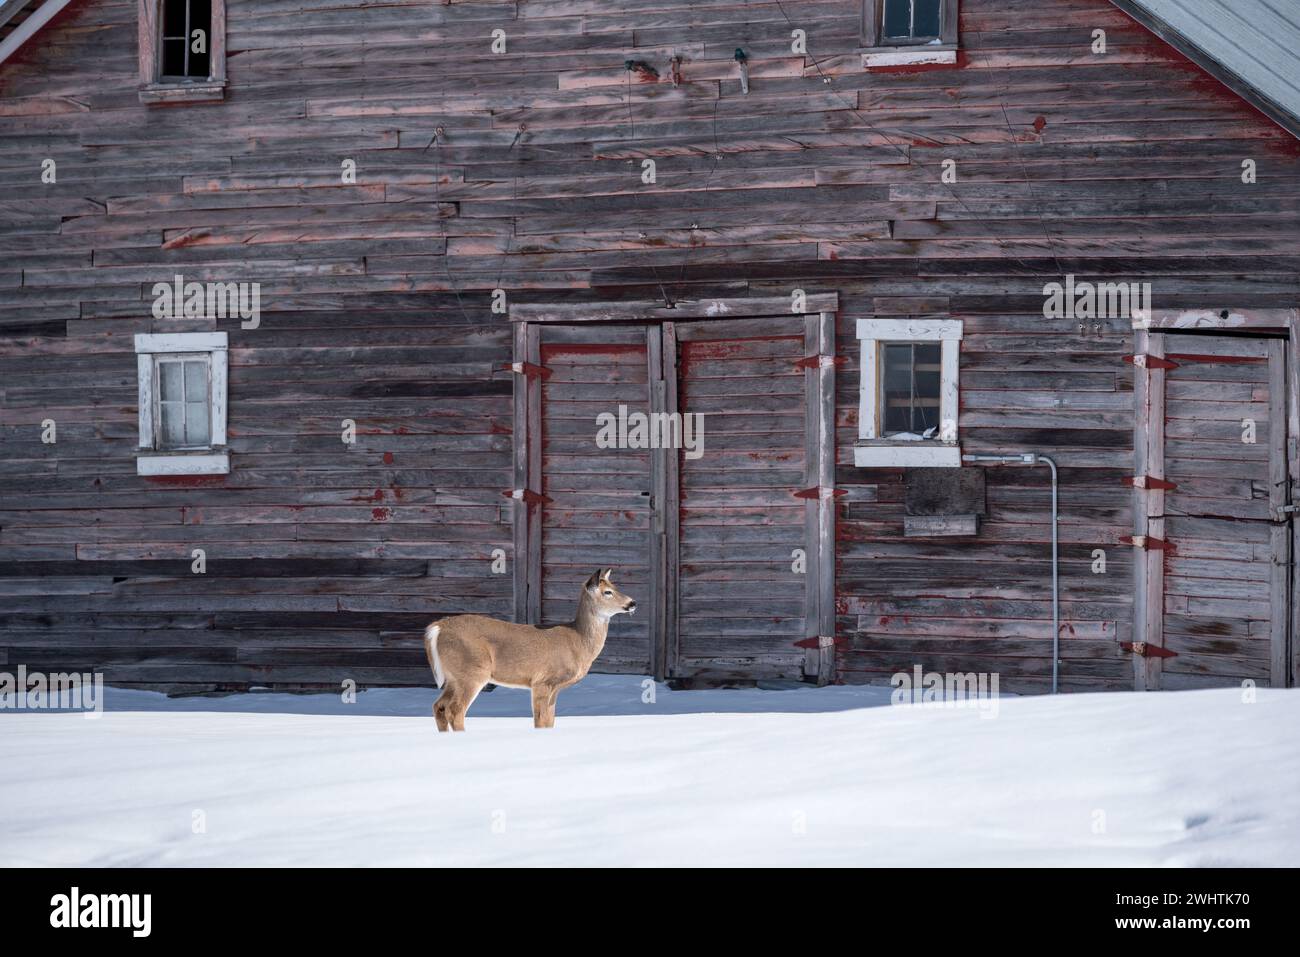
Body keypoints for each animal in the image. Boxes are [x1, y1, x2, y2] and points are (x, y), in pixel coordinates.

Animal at [421, 566, 634, 733]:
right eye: (607, 592)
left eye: (616, 587)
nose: (632, 603)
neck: (577, 640)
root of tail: (437, 627)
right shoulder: (543, 680)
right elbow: (541, 721)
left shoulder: (555, 688)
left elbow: (550, 721)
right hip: (472, 670)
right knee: (455, 710)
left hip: (453, 677)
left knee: (439, 706)